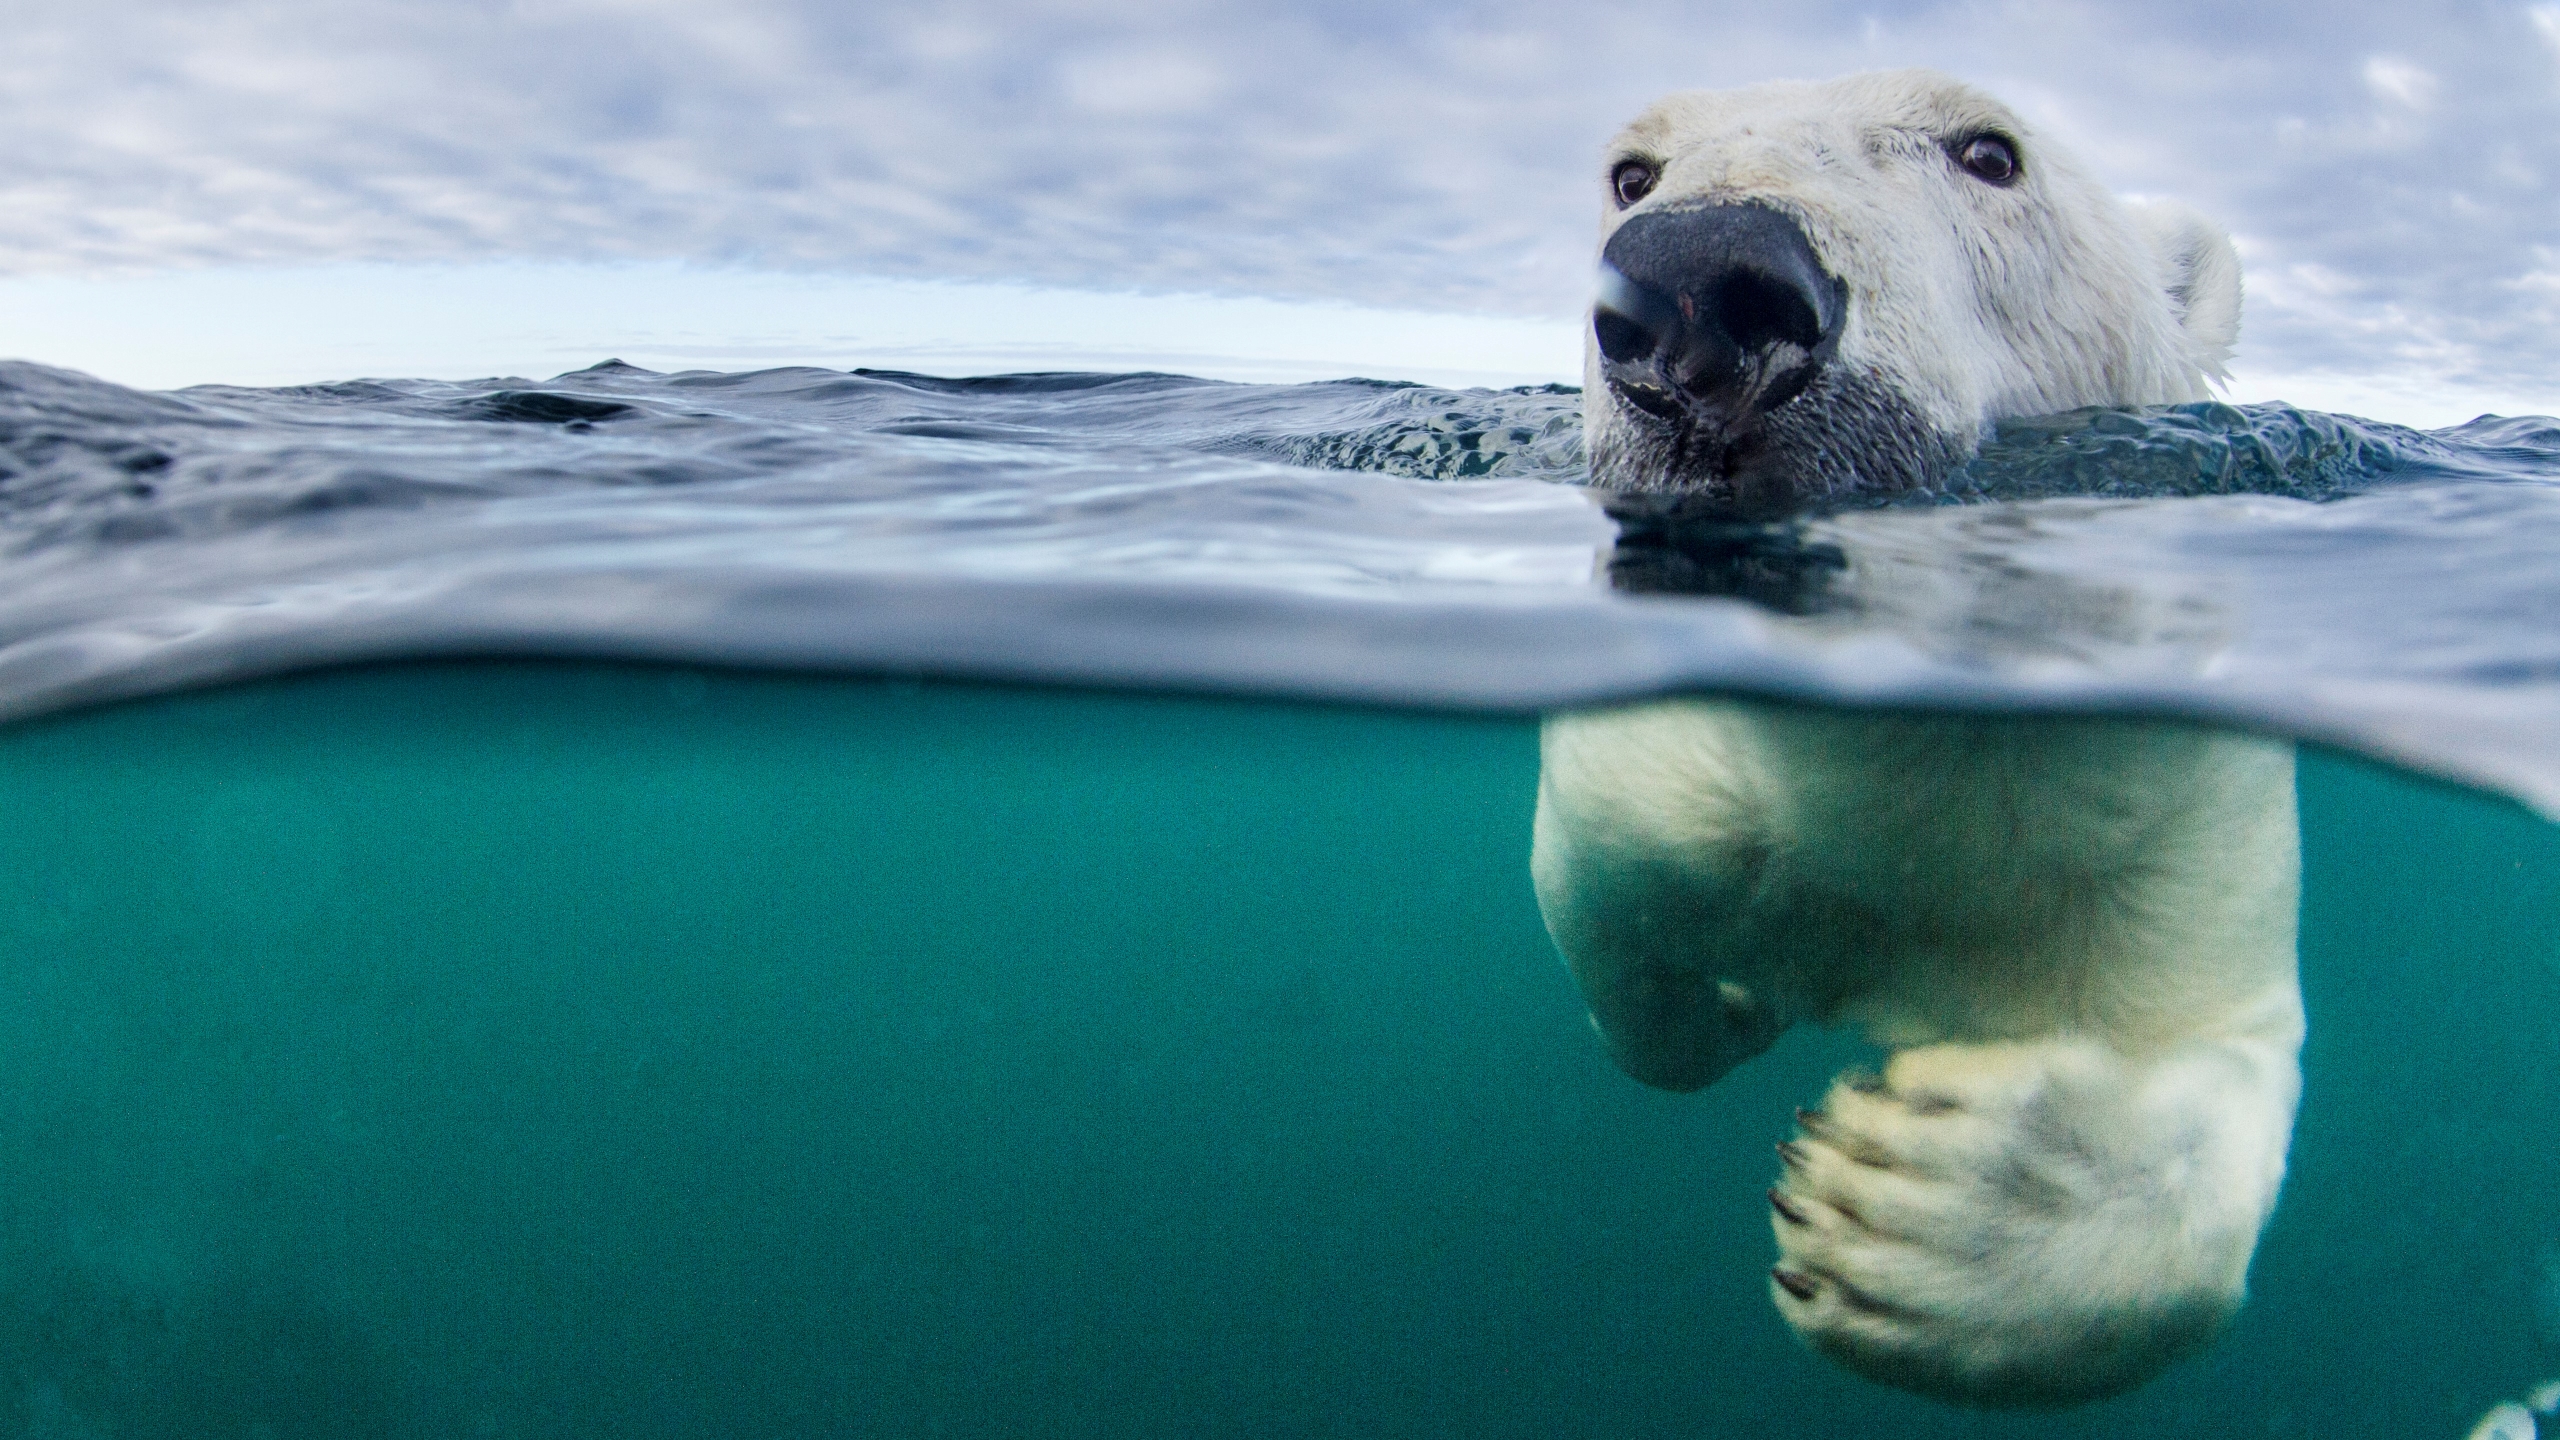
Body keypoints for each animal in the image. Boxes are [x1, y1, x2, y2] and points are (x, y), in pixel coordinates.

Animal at [1536, 70, 2304, 1404]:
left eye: (1987, 152)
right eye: (1632, 172)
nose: (1697, 284)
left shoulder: (2182, 814)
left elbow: (2213, 1054)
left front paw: (1913, 1205)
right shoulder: (1665, 755)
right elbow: (1610, 872)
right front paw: (1724, 1001)